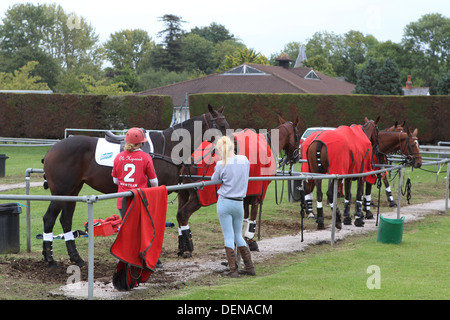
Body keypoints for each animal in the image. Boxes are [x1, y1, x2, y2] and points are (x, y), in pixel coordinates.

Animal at [40, 105, 230, 268]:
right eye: (221, 125)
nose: (231, 144)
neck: (167, 146)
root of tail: (52, 150)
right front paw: (154, 259)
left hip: (72, 191)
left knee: (66, 220)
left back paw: (76, 258)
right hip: (61, 192)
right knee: (49, 218)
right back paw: (49, 258)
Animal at [178, 116, 300, 258]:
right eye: (297, 136)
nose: (296, 156)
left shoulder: (246, 192)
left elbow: (245, 216)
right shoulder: (257, 192)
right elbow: (252, 217)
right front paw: (250, 241)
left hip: (183, 192)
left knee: (178, 214)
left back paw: (182, 246)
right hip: (197, 197)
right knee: (183, 214)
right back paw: (188, 247)